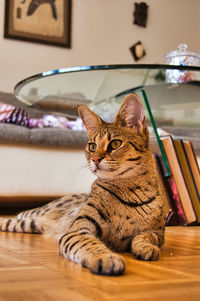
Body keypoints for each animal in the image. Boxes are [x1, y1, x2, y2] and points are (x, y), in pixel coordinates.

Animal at [0, 93, 165, 274]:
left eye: (115, 143)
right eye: (92, 146)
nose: (95, 159)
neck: (129, 192)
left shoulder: (158, 232)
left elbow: (146, 236)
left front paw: (145, 247)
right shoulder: (76, 230)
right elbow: (90, 243)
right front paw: (106, 257)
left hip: (31, 224)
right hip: (40, 212)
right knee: (22, 213)